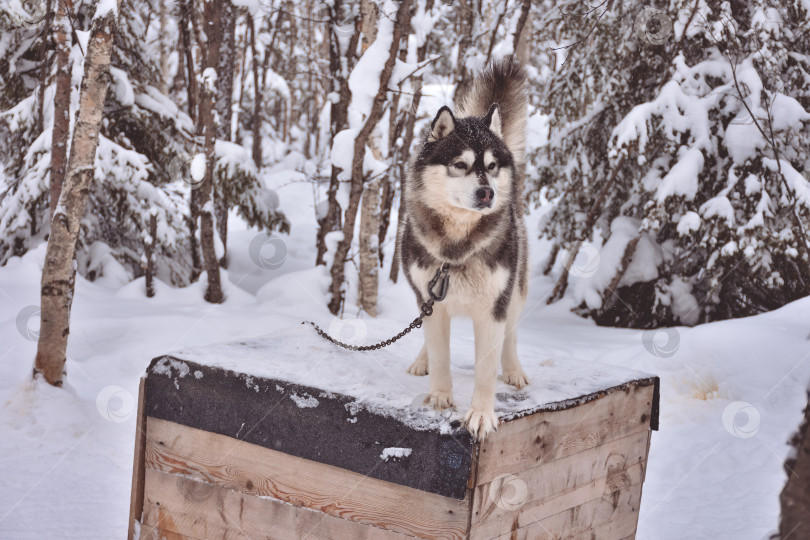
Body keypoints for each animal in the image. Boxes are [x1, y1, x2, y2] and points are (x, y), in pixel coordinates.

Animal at [400, 58, 528, 438]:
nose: (487, 193)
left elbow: (486, 369)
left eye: (492, 167)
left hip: (516, 293)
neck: (456, 248)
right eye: (460, 165)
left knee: (510, 337)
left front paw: (481, 414)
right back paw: (422, 360)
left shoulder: (493, 308)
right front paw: (441, 396)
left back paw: (513, 370)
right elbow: (440, 353)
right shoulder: (430, 299)